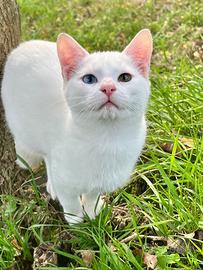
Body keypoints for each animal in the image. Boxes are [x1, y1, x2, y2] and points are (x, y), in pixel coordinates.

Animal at [1, 29, 152, 224]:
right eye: (89, 79)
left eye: (125, 77)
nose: (108, 87)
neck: (107, 138)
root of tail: (23, 46)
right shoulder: (66, 181)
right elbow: (70, 200)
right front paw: (75, 220)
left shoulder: (98, 183)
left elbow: (92, 195)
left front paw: (91, 213)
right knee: (45, 156)